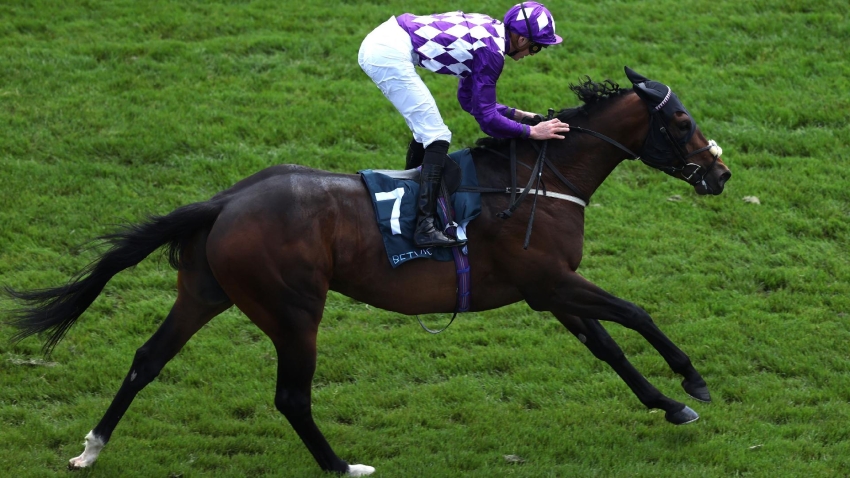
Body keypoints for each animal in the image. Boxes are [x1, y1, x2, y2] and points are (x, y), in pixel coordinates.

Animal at [3, 68, 724, 478]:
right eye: (682, 120)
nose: (719, 173)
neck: (538, 181)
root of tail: (226, 200)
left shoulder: (546, 291)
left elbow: (607, 346)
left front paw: (670, 405)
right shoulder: (550, 281)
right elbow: (635, 313)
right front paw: (693, 378)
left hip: (205, 293)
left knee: (146, 359)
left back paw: (91, 447)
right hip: (294, 308)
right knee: (291, 396)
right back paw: (340, 465)